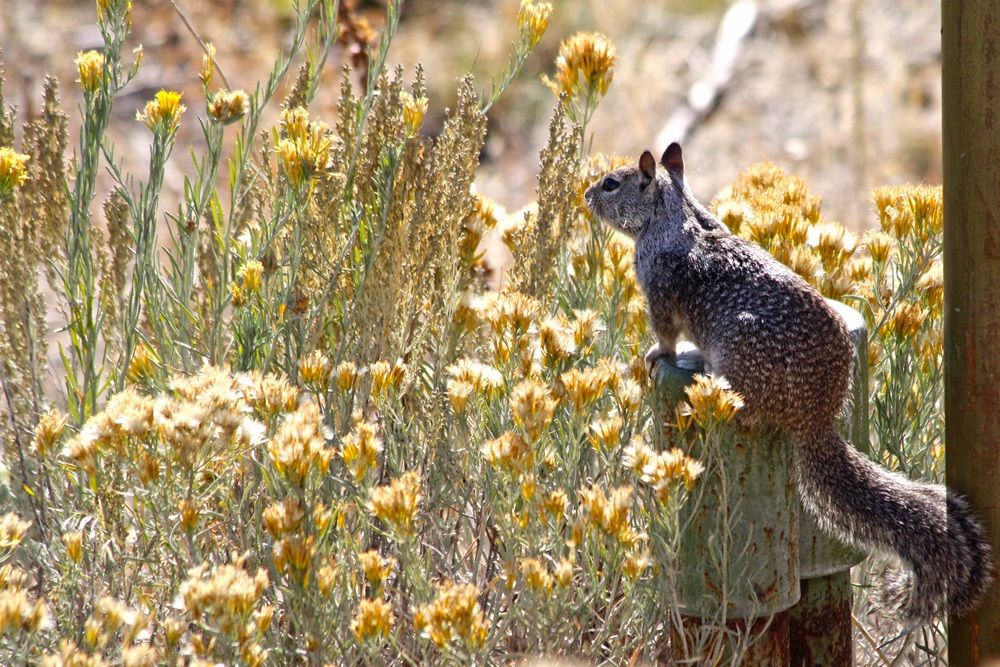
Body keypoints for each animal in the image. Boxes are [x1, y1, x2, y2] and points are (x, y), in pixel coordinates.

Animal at [584, 144, 992, 624]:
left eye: (611, 184)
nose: (586, 195)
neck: (673, 214)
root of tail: (815, 416)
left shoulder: (660, 293)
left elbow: (665, 336)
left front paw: (655, 356)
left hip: (742, 355)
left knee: (752, 412)